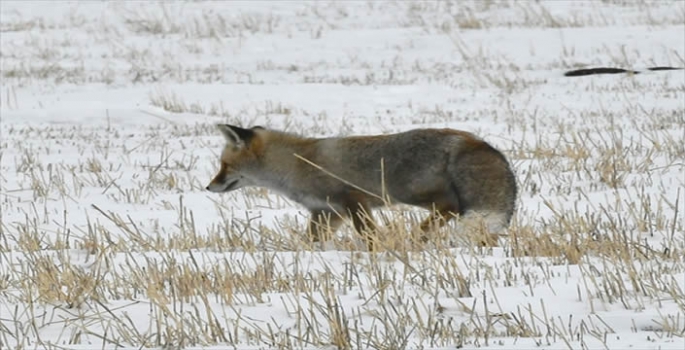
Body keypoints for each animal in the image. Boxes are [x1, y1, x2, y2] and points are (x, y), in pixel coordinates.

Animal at [206, 124, 516, 250]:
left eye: (224, 166)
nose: (209, 187)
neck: (297, 165)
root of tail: (474, 140)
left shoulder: (353, 201)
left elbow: (368, 235)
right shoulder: (327, 212)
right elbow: (311, 241)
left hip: (413, 192)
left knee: (451, 208)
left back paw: (416, 238)